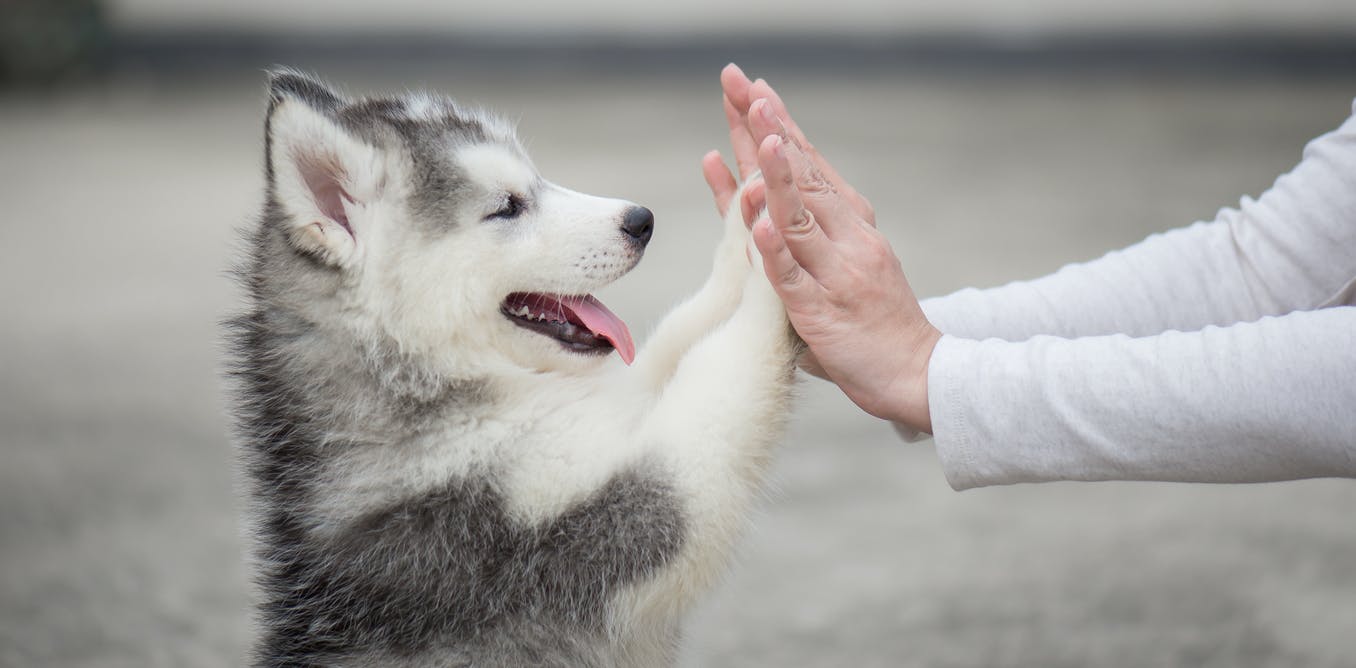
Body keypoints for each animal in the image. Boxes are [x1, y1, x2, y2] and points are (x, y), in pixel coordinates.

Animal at [226, 70, 797, 663]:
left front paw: (749, 223)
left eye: (537, 181)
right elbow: (721, 373)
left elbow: (679, 335)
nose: (642, 220)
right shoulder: (583, 524)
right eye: (507, 207)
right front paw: (779, 264)